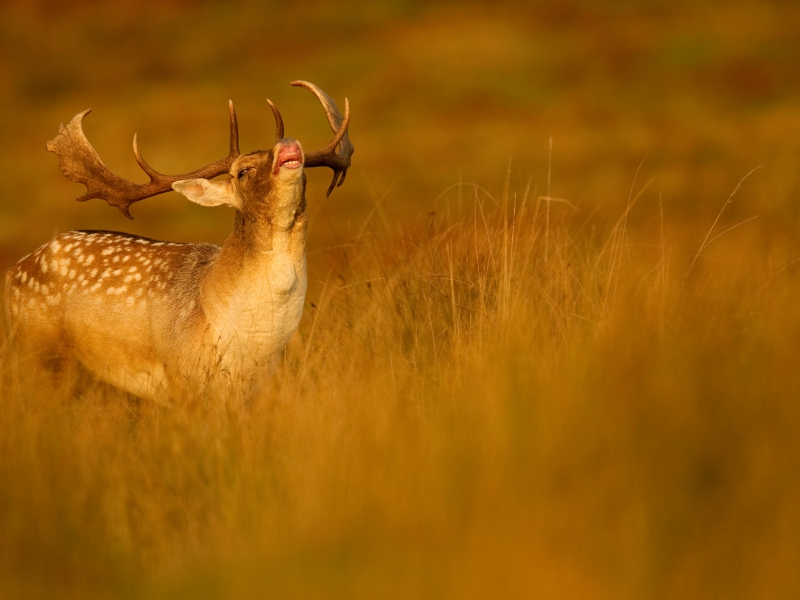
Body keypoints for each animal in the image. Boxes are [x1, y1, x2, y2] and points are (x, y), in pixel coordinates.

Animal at [4, 81, 353, 402]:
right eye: (242, 172)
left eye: (306, 168)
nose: (287, 144)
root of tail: (11, 273)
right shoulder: (183, 376)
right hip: (40, 353)